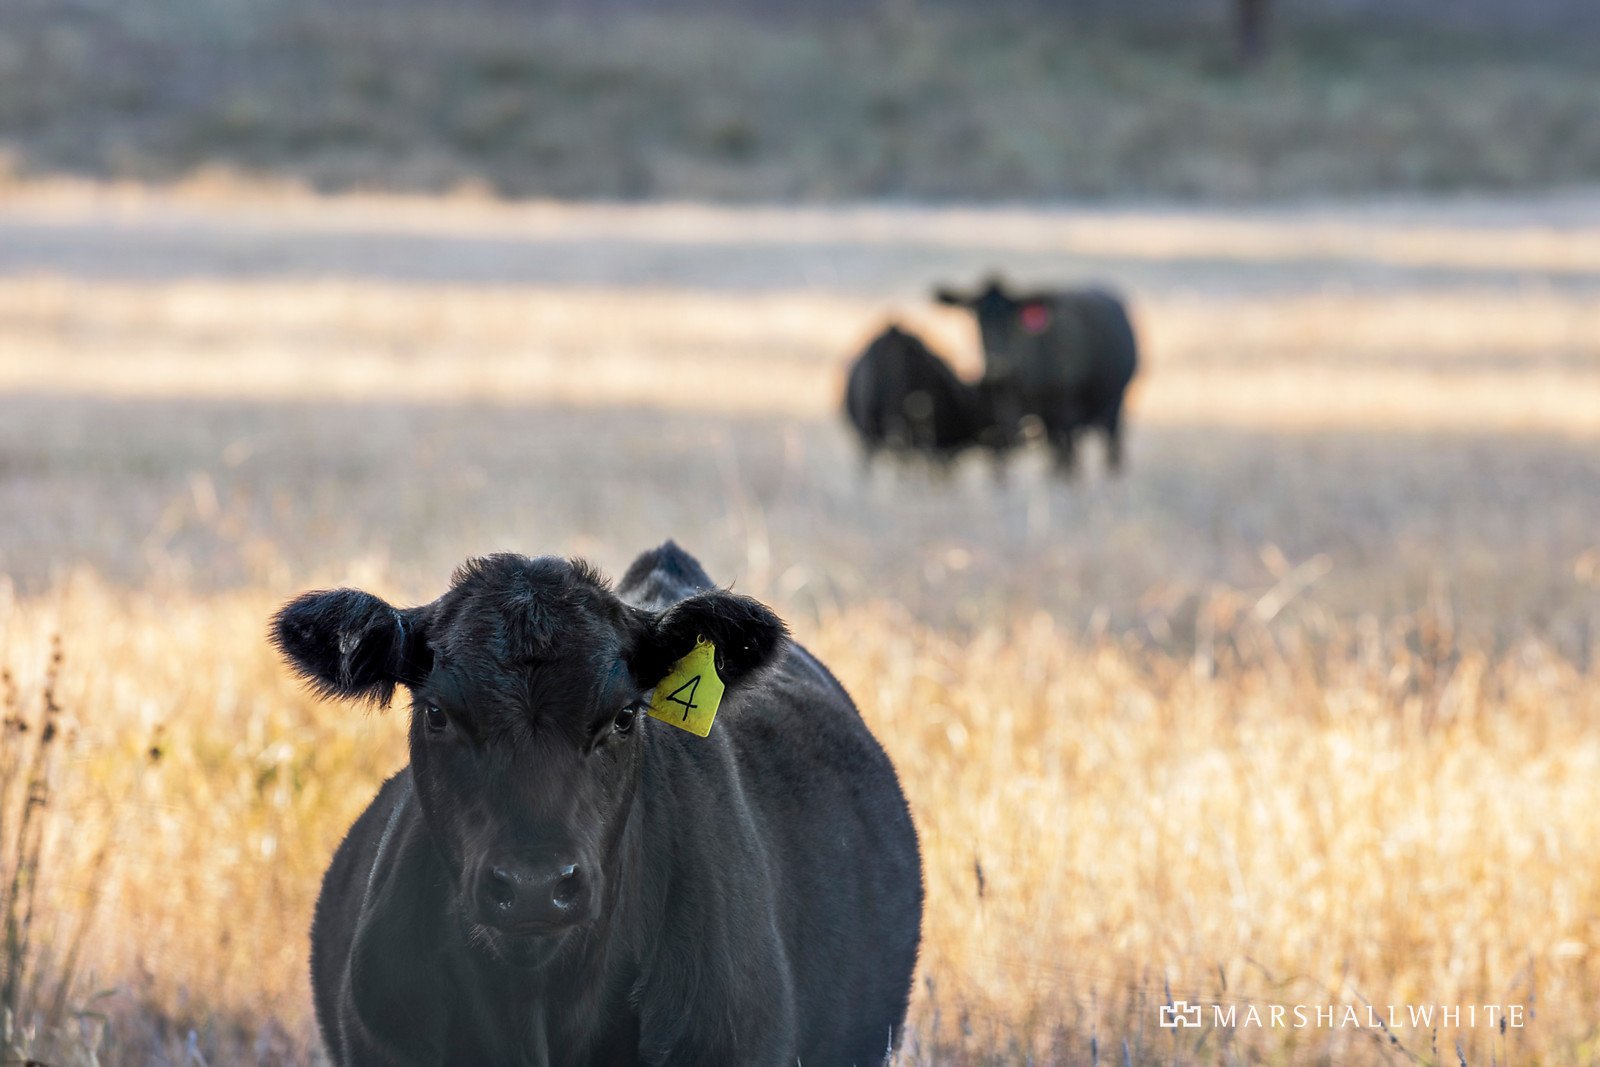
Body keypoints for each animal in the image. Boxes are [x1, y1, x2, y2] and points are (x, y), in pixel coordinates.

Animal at [934, 275, 1145, 476]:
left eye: (1011, 318)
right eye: (976, 315)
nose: (997, 366)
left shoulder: (1066, 411)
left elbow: (1067, 458)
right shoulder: (1013, 415)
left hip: (1114, 403)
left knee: (1110, 445)